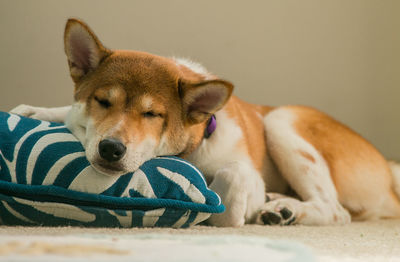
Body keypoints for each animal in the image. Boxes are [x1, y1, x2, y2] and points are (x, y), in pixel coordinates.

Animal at [10, 18, 400, 227]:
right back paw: (282, 205)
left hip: (282, 120)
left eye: (152, 114)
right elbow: (67, 112)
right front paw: (35, 111)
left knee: (337, 211)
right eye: (103, 101)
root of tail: (388, 170)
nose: (110, 149)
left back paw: (280, 209)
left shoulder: (239, 171)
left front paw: (238, 206)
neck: (194, 150)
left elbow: (231, 181)